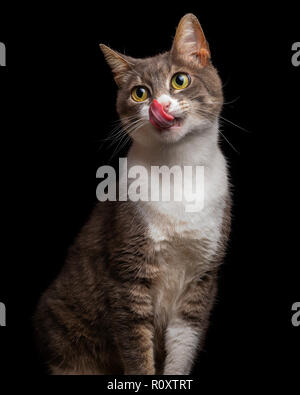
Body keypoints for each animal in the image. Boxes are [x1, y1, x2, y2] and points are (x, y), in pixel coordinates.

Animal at [35, 12, 232, 376]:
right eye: (140, 93)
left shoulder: (202, 277)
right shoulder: (127, 273)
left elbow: (183, 344)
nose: (159, 104)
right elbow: (136, 348)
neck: (178, 169)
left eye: (180, 80)